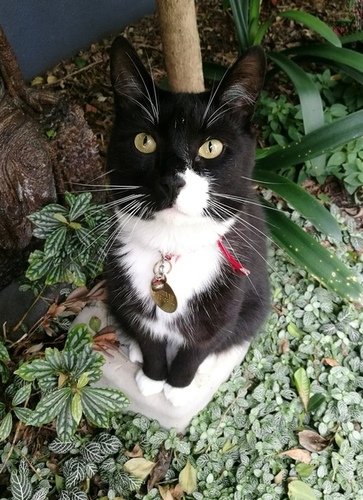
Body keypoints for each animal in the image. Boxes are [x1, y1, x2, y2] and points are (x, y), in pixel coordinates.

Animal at [105, 38, 270, 406]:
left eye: (211, 147)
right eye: (144, 141)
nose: (171, 181)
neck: (172, 245)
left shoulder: (229, 292)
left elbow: (202, 343)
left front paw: (178, 387)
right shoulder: (125, 281)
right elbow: (148, 334)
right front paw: (152, 377)